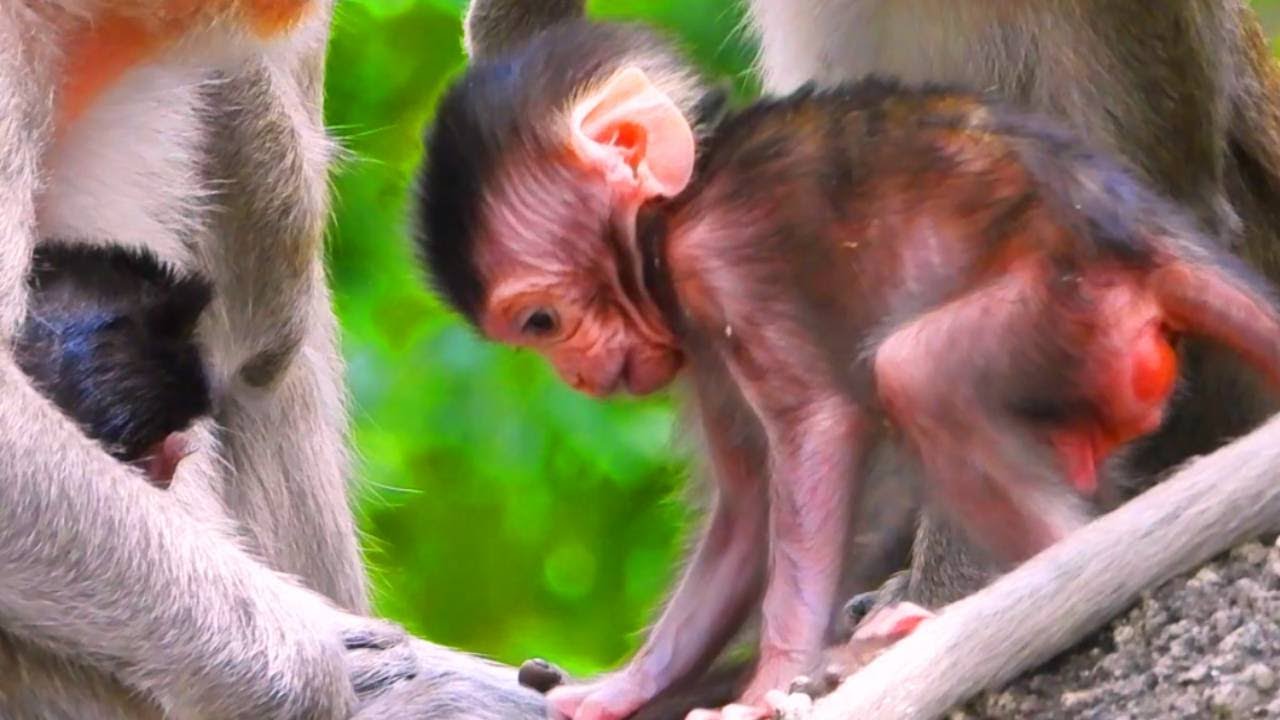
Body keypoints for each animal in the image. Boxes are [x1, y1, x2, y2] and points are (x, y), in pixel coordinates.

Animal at [416, 16, 1280, 720]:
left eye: (541, 321)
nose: (577, 377)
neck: (681, 204)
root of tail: (1142, 236)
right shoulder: (698, 342)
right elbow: (746, 509)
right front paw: (629, 686)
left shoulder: (720, 264)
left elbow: (816, 430)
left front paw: (773, 679)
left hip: (1073, 311)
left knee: (914, 371)